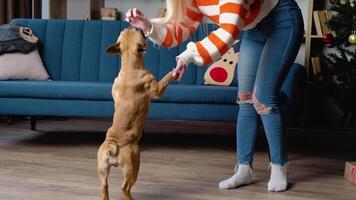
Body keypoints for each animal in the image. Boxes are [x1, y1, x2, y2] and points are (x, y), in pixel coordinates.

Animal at [97, 27, 175, 200]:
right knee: (125, 187)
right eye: (137, 31)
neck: (129, 65)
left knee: (104, 186)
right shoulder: (157, 88)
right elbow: (165, 79)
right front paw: (174, 72)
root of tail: (113, 145)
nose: (138, 27)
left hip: (102, 168)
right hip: (133, 163)